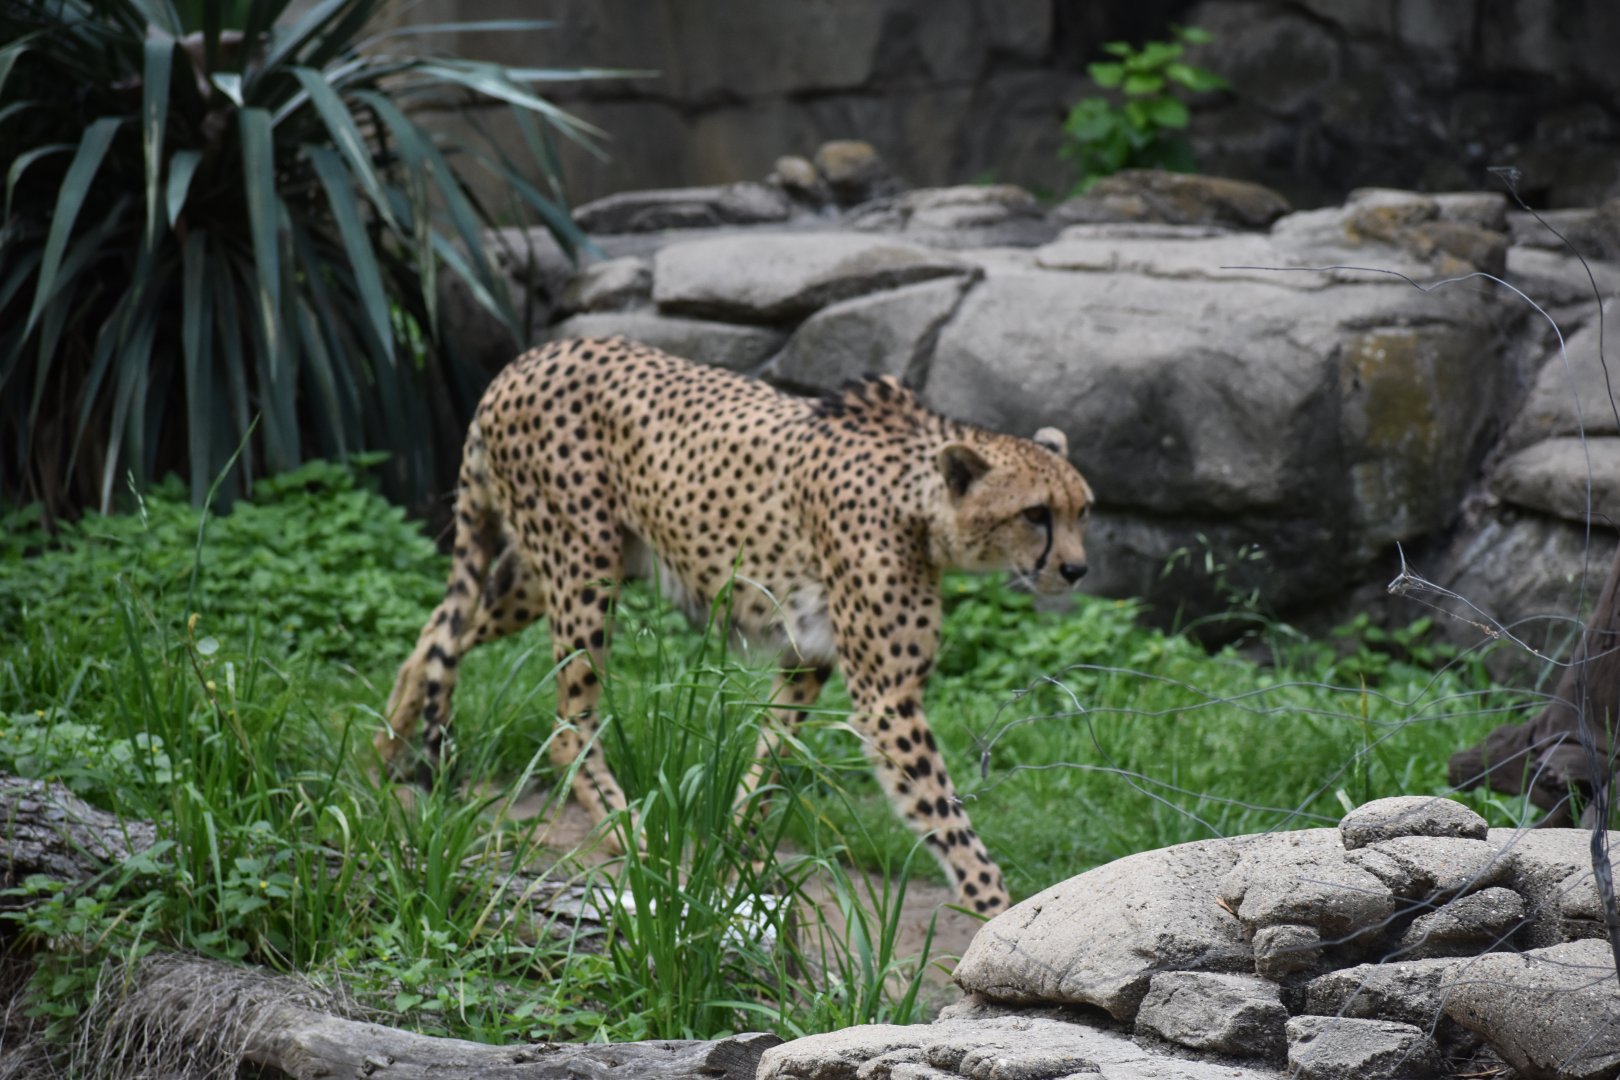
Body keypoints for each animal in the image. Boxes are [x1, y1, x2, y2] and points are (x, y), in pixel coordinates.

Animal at [377, 336, 1094, 913]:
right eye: (1035, 513)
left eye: (1082, 509)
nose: (1077, 570)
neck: (919, 500)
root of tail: (525, 360)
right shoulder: (887, 697)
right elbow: (947, 816)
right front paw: (998, 911)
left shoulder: (808, 657)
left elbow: (771, 758)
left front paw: (733, 849)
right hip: (583, 570)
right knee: (566, 719)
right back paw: (626, 826)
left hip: (550, 567)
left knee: (441, 629)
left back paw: (387, 747)